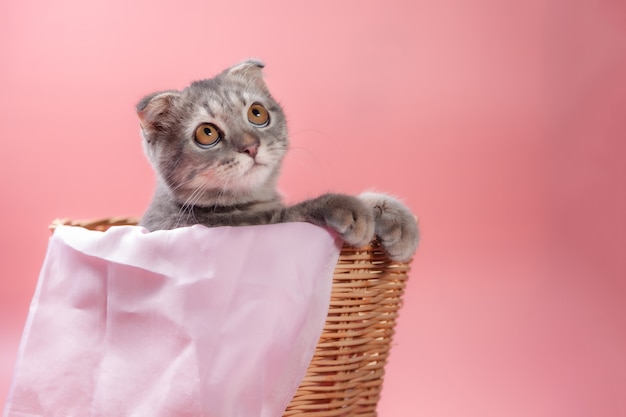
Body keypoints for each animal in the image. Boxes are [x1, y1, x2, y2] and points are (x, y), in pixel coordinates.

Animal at [137, 59, 420, 260]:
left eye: (257, 113)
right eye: (206, 133)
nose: (251, 146)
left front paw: (395, 216)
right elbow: (294, 212)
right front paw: (349, 206)